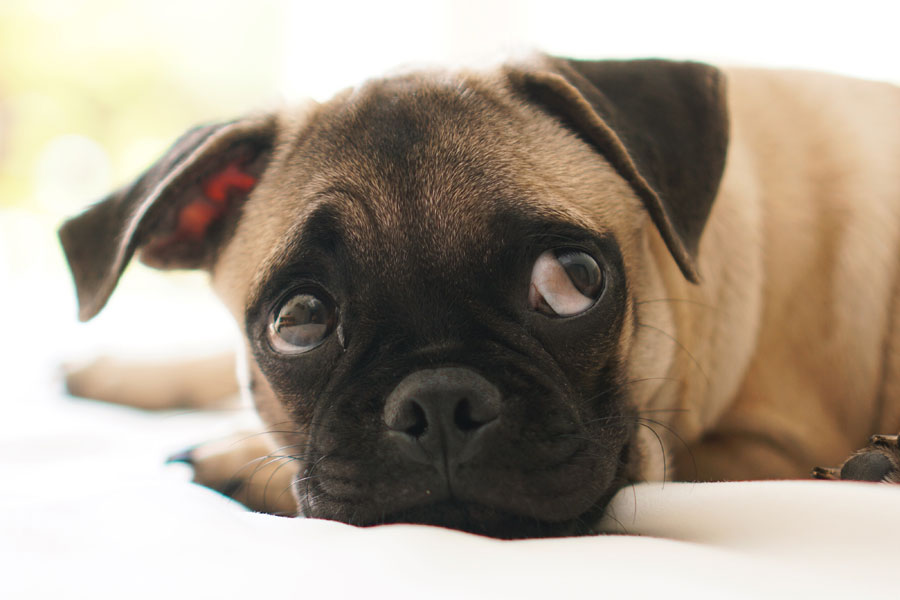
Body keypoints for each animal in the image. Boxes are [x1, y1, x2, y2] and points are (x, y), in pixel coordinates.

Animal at [59, 52, 900, 540]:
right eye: (299, 321)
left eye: (572, 280)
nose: (439, 400)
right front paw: (120, 375)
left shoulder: (758, 448)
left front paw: (236, 456)